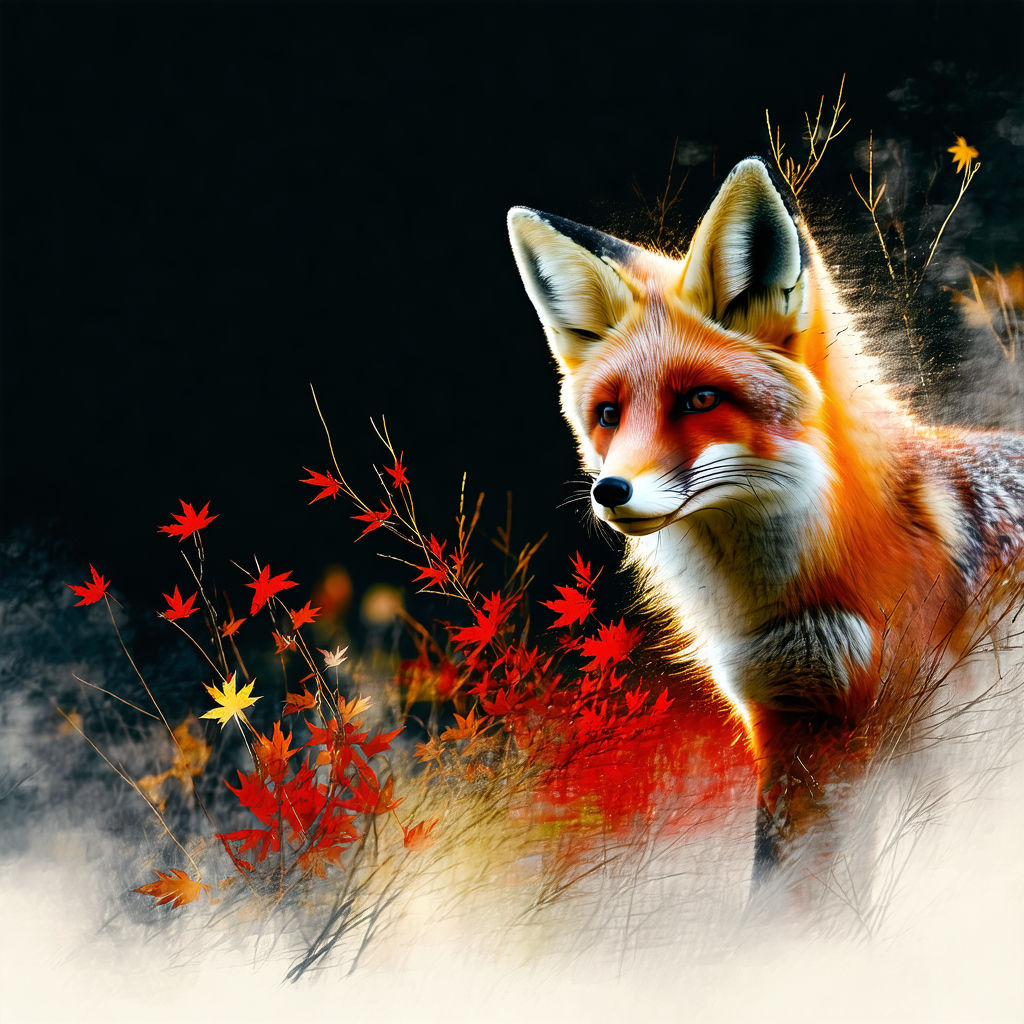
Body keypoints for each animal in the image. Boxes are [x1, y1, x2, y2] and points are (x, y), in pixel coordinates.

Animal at [507, 157, 1024, 886]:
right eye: (609, 414)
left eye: (700, 401)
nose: (611, 491)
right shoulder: (782, 722)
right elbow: (781, 887)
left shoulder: (898, 729)